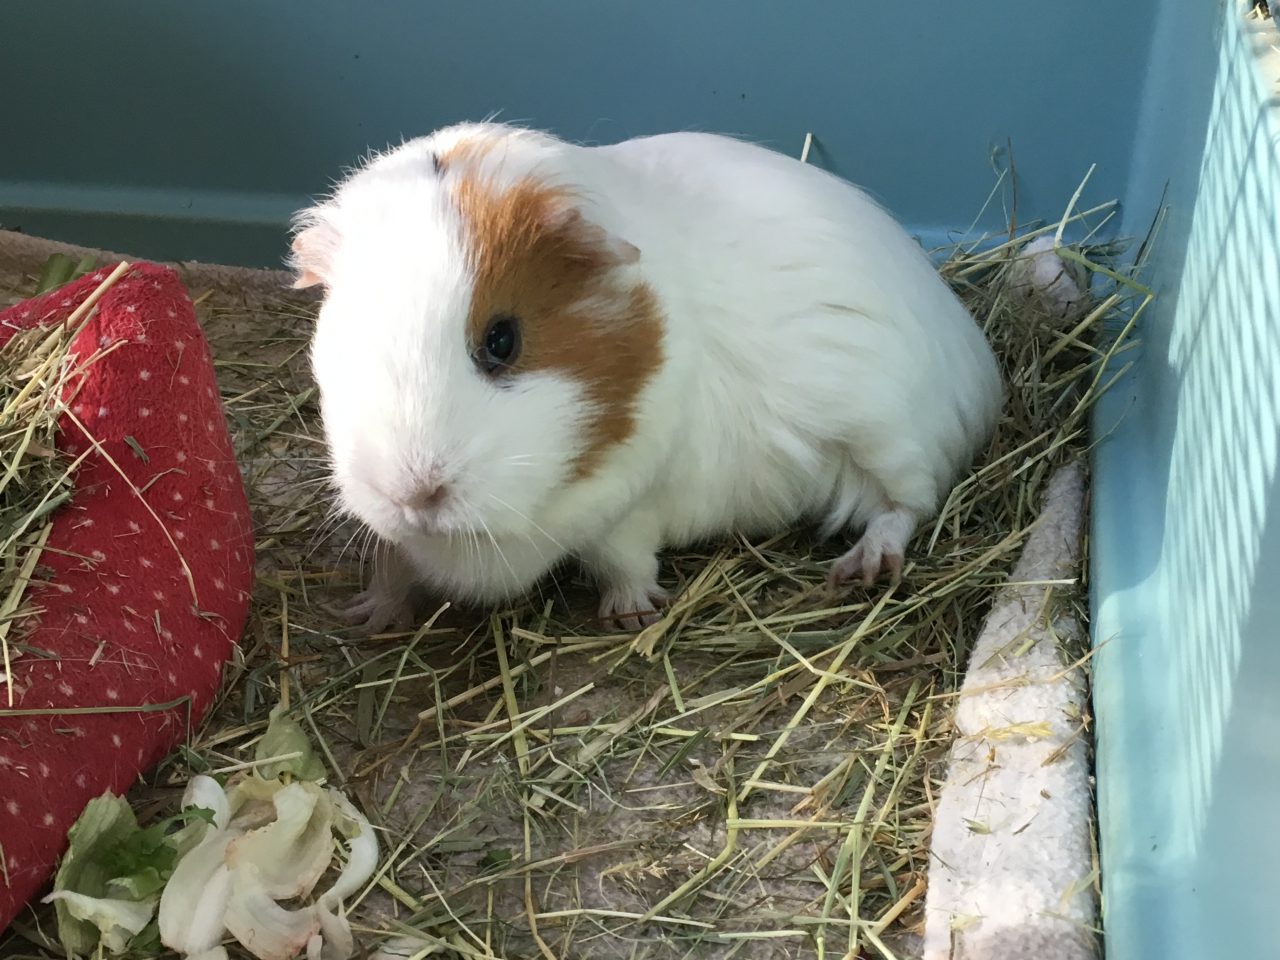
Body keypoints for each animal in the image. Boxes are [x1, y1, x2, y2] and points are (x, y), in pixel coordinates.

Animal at [290, 122, 1003, 634]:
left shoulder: (630, 509)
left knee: (906, 507)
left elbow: (625, 560)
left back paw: (861, 570)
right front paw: (368, 616)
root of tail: (971, 351)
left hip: (891, 440)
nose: (416, 493)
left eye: (501, 340)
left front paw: (629, 614)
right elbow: (395, 564)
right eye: (347, 328)